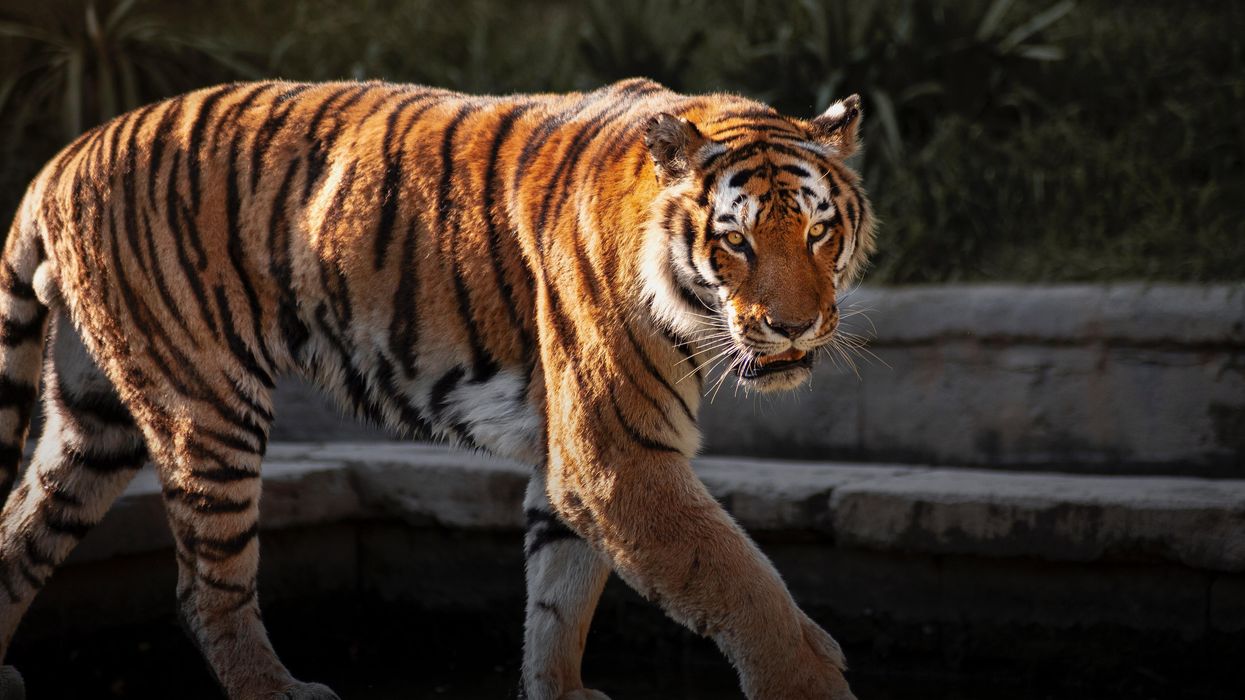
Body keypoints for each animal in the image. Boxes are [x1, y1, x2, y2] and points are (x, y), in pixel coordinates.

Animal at [0, 78, 873, 699]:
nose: (795, 327)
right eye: (736, 241)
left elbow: (559, 595)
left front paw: (558, 692)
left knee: (23, 526)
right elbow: (742, 583)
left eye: (817, 231)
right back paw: (279, 690)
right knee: (204, 587)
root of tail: (63, 157)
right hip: (205, 407)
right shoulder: (616, 457)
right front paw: (809, 682)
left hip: (94, 421)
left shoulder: (576, 462)